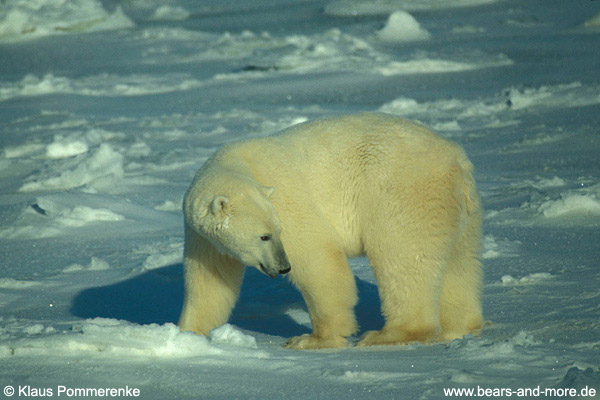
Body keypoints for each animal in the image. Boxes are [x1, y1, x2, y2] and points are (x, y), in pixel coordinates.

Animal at [178, 111, 482, 348]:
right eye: (264, 236)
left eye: (276, 232)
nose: (282, 267)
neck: (241, 165)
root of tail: (458, 160)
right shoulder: (202, 238)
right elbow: (211, 281)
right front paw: (187, 334)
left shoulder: (287, 199)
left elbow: (316, 259)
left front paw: (314, 339)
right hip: (460, 210)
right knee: (460, 264)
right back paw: (460, 327)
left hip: (403, 191)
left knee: (403, 256)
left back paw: (387, 335)